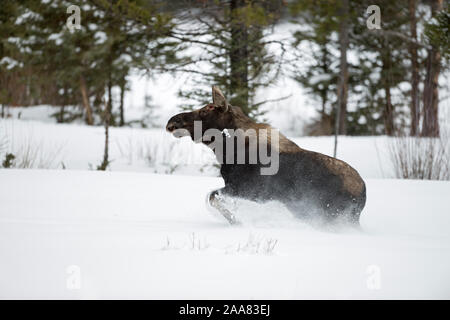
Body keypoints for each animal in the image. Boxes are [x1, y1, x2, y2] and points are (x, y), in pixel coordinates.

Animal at [166, 85, 366, 225]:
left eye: (205, 110)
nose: (172, 121)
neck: (227, 149)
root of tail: (363, 193)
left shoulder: (251, 190)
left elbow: (212, 197)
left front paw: (237, 221)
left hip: (330, 214)